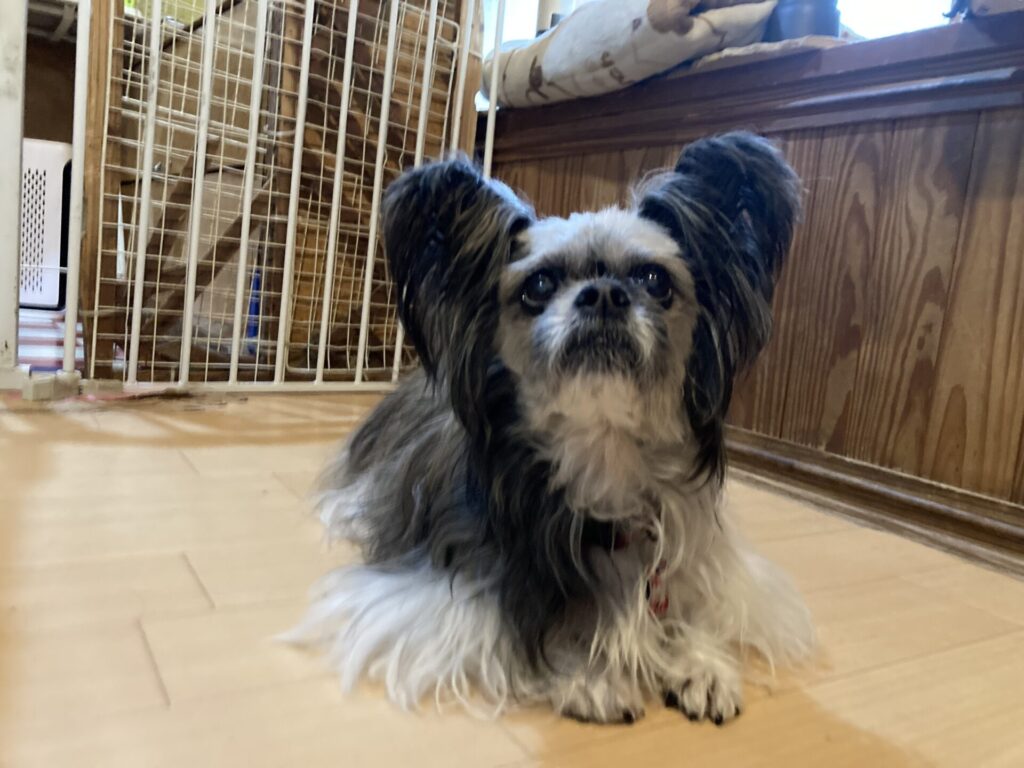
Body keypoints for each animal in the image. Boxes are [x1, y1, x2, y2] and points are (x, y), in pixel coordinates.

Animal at [287, 132, 815, 724]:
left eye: (654, 279)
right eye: (539, 284)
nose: (603, 294)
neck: (604, 457)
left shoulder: (706, 561)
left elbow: (700, 605)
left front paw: (700, 661)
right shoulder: (438, 603)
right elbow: (526, 629)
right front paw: (588, 673)